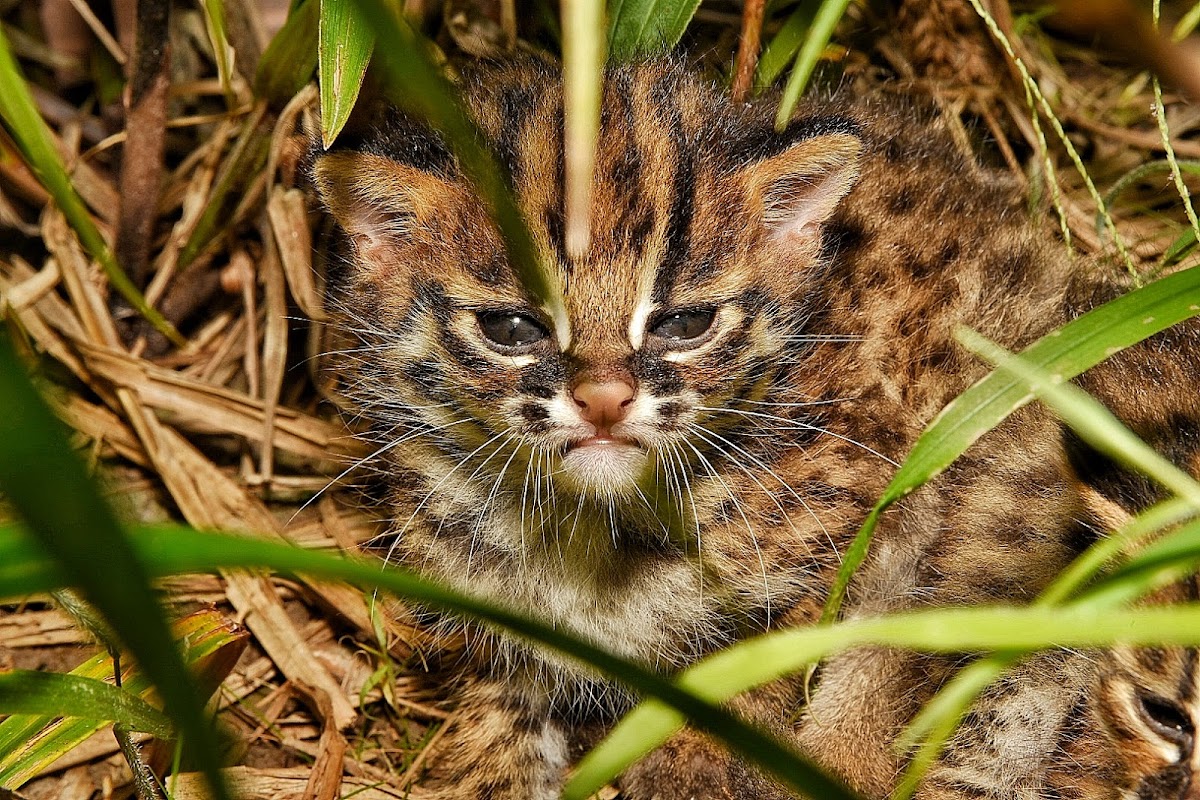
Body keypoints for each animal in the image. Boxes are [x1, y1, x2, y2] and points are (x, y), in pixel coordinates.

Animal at [314, 57, 1200, 800]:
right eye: (510, 329)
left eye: (686, 323)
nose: (602, 401)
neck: (594, 529)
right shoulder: (491, 624)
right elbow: (496, 725)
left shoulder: (858, 530)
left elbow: (777, 667)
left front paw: (697, 765)